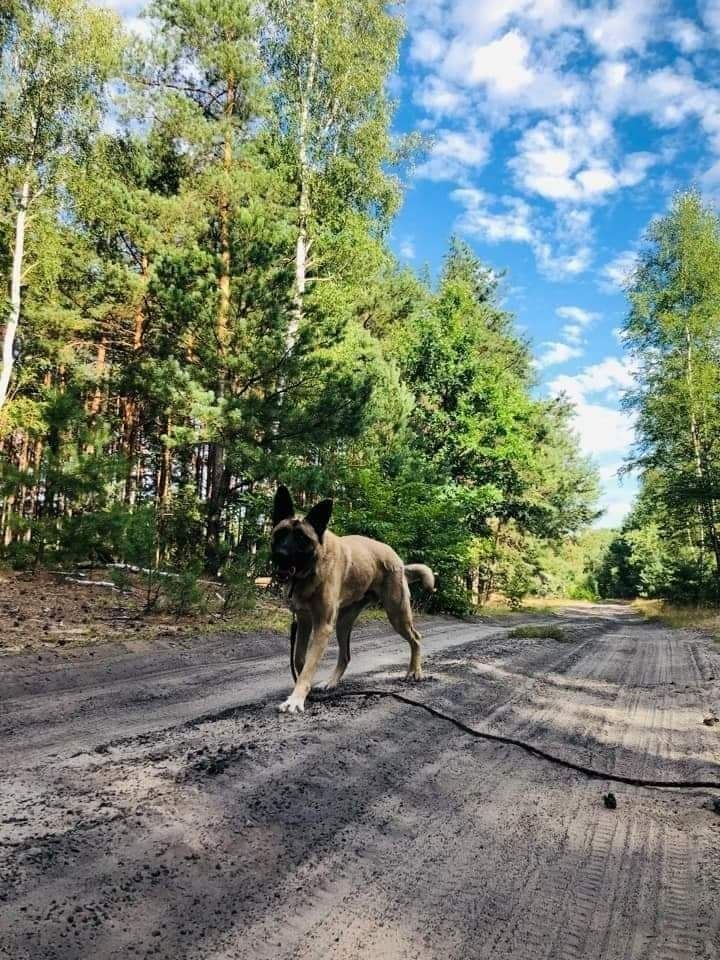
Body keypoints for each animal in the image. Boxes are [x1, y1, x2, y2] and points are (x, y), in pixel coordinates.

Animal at [272, 488, 436, 712]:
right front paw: (303, 688)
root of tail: (399, 562)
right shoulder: (305, 621)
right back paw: (331, 682)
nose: (280, 555)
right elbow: (300, 659)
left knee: (416, 638)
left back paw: (415, 671)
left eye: (302, 539)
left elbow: (309, 665)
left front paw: (296, 699)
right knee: (346, 655)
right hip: (343, 623)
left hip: (397, 614)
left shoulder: (322, 626)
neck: (310, 571)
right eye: (280, 534)